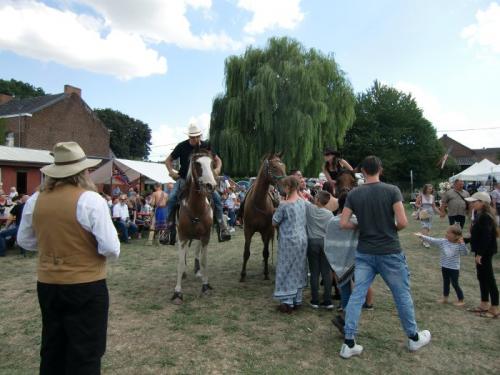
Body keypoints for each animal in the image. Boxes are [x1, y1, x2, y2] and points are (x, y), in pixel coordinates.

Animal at [171, 151, 216, 306]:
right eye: (197, 164)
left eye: (212, 163)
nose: (211, 185)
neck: (196, 207)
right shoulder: (183, 236)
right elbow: (179, 263)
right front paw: (177, 293)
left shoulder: (206, 236)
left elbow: (204, 260)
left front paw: (205, 286)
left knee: (197, 252)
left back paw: (197, 271)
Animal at [241, 153, 288, 282]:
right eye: (274, 167)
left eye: (284, 166)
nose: (285, 190)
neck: (258, 201)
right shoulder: (248, 230)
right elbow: (246, 253)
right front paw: (242, 275)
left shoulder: (267, 230)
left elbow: (266, 252)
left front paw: (266, 273)